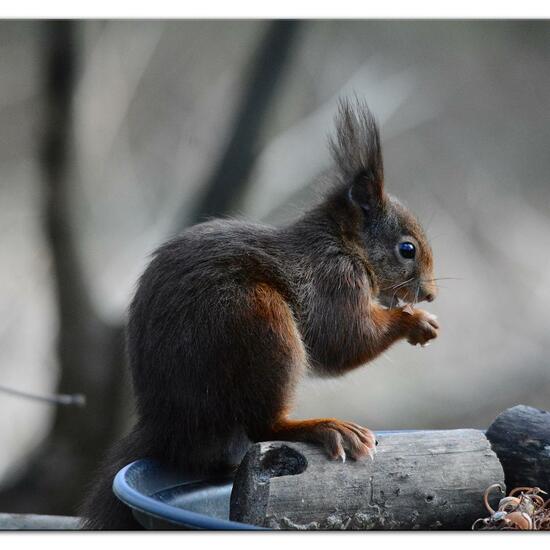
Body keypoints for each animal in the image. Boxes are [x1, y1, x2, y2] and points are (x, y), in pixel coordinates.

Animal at [80, 99, 440, 532]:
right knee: (264, 426)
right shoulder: (333, 279)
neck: (344, 243)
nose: (431, 294)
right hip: (258, 324)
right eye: (407, 249)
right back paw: (322, 427)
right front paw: (414, 321)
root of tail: (169, 425)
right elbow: (342, 340)